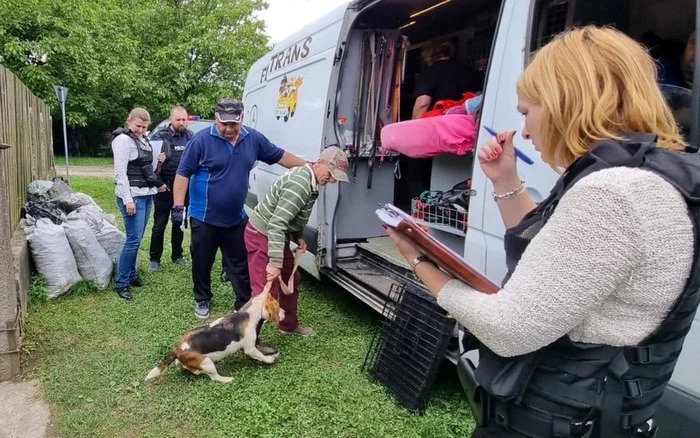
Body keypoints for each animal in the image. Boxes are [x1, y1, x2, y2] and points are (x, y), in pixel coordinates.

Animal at [145, 288, 284, 384]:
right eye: (278, 305)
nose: (284, 312)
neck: (247, 314)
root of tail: (176, 349)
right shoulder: (250, 349)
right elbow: (261, 355)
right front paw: (270, 359)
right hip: (207, 362)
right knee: (214, 377)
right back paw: (227, 379)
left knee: (179, 364)